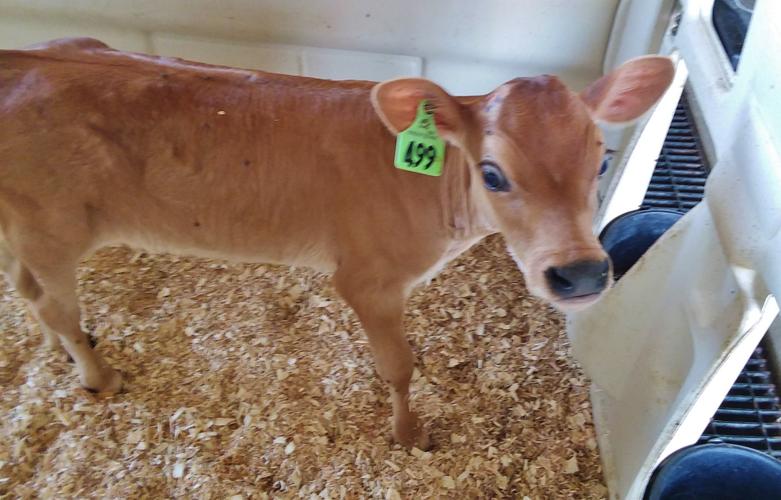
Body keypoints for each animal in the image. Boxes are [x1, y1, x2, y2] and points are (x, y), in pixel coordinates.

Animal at [0, 38, 674, 448]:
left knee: (27, 291)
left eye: (602, 159)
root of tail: (24, 57)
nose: (580, 274)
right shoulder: (366, 279)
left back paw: (57, 350)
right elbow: (399, 367)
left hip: (23, 225)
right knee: (54, 301)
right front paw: (409, 435)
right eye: (493, 173)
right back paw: (98, 376)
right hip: (53, 226)